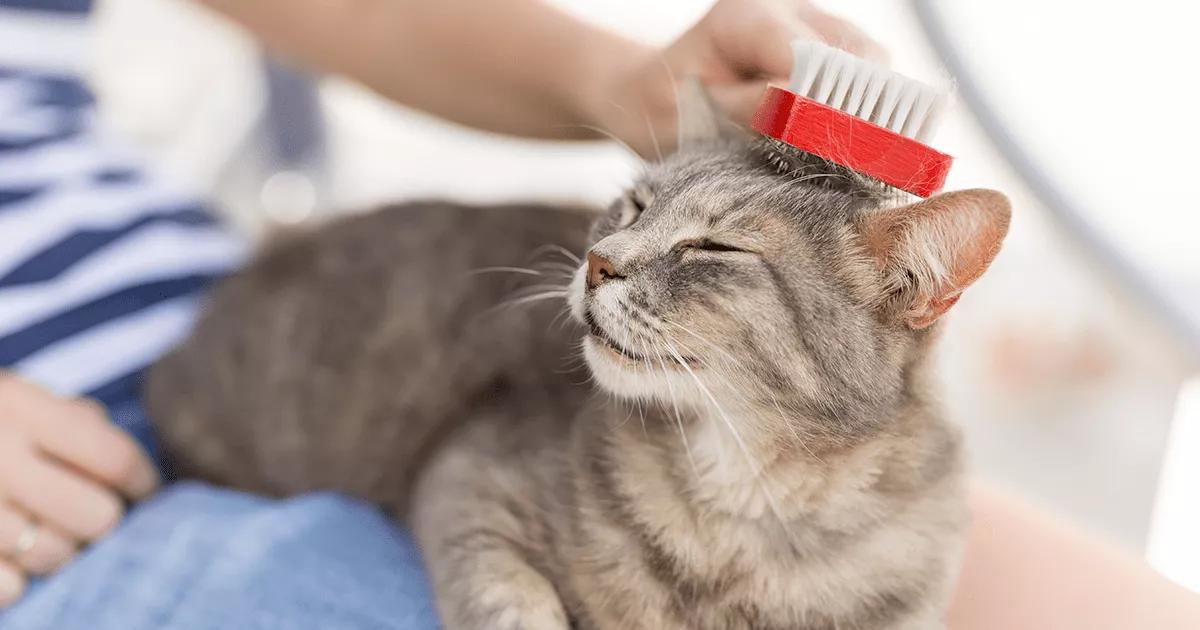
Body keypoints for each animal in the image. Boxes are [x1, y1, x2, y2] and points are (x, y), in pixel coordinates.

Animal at [147, 89, 1012, 628]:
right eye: (634, 206)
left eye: (715, 247)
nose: (599, 262)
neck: (748, 507)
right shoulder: (469, 480)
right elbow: (512, 601)